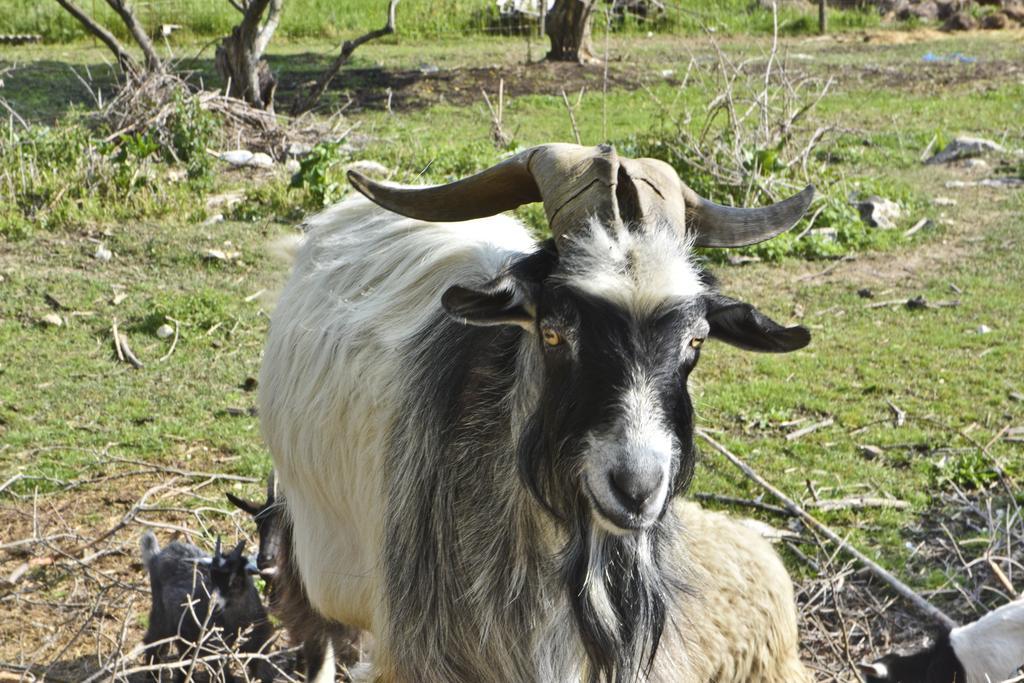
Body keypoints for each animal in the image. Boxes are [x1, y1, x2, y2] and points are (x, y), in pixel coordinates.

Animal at [142, 532, 276, 683]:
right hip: (161, 614)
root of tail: (156, 556)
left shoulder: (259, 642)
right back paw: (152, 674)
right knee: (153, 641)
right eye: (211, 577)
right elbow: (223, 674)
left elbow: (261, 668)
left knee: (185, 655)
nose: (214, 605)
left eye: (235, 580)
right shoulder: (215, 647)